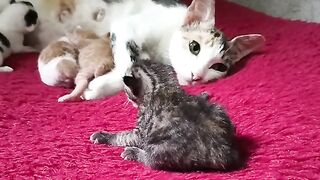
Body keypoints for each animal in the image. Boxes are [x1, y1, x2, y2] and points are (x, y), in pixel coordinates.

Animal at [90, 48, 240, 171]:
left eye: (126, 89)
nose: (125, 96)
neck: (162, 86)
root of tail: (225, 151)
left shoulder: (140, 133)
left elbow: (122, 136)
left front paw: (103, 136)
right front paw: (202, 95)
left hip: (159, 149)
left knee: (151, 161)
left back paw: (133, 152)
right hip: (220, 111)